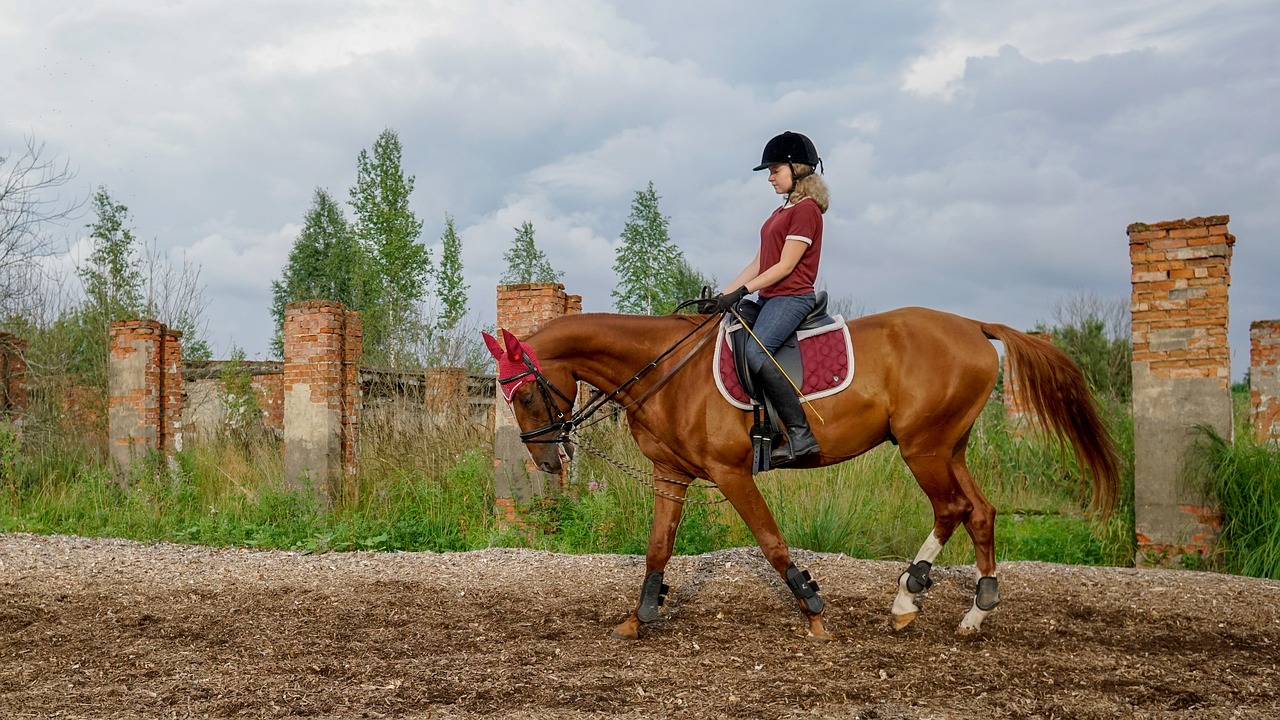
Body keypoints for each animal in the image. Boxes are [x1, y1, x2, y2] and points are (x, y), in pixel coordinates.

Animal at [481, 304, 1121, 635]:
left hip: (924, 447)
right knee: (978, 511)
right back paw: (971, 610)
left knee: (953, 508)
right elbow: (658, 548)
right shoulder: (671, 475)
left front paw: (812, 608)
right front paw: (640, 618)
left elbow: (771, 542)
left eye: (527, 395)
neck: (665, 371)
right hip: (947, 446)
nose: (545, 459)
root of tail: (972, 326)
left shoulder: (731, 473)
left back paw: (910, 599)